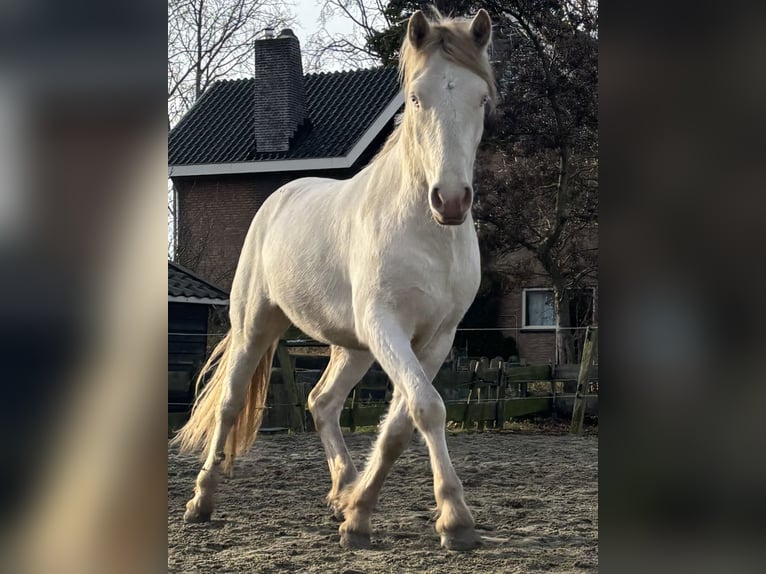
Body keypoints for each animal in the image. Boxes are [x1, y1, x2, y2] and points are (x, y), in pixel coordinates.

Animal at [171, 8, 496, 551]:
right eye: (416, 97)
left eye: (482, 98)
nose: (450, 200)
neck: (427, 234)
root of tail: (278, 198)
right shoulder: (386, 326)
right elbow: (427, 408)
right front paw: (455, 518)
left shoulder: (436, 338)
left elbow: (401, 422)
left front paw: (361, 515)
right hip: (255, 327)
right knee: (230, 405)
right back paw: (201, 501)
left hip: (353, 347)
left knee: (321, 402)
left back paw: (344, 491)